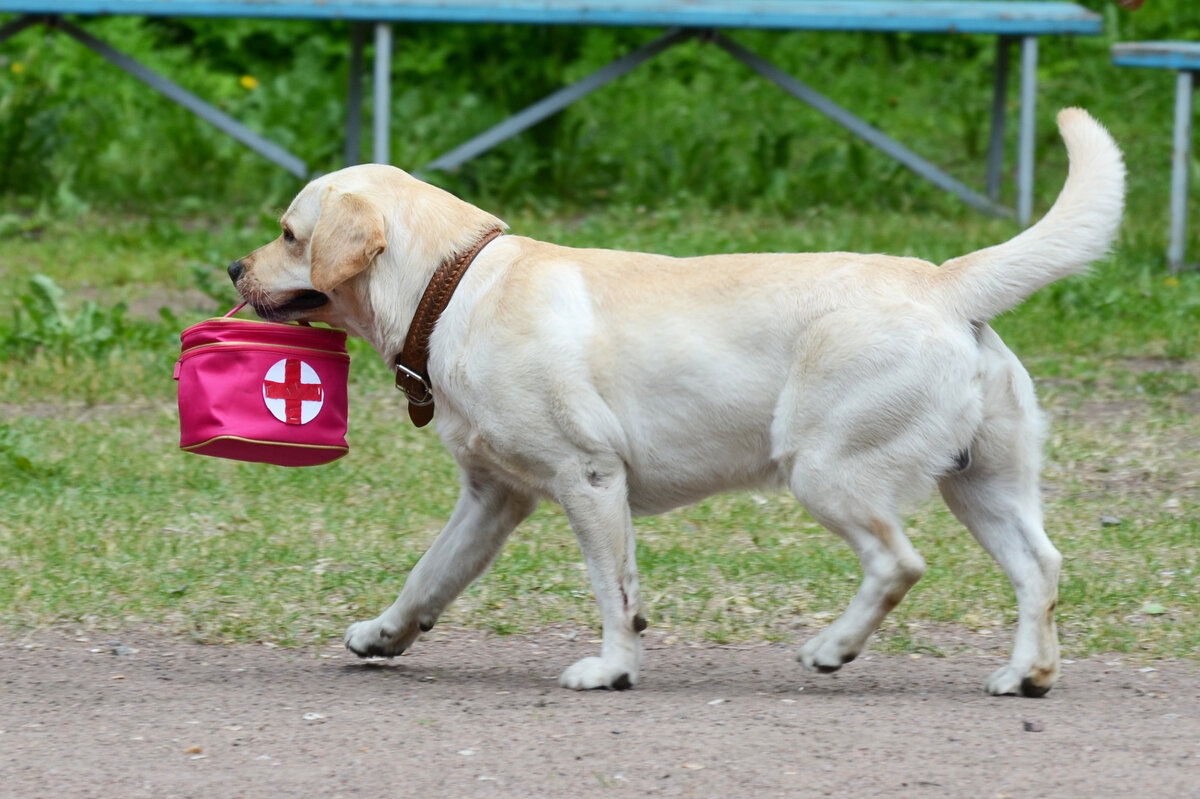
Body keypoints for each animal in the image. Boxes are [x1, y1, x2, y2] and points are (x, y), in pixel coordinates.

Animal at [229, 109, 1118, 695]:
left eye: (288, 232)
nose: (234, 267)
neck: (452, 286)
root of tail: (944, 282)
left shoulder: (589, 478)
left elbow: (613, 591)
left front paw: (612, 668)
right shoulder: (493, 497)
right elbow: (428, 577)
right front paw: (383, 633)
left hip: (826, 470)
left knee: (899, 563)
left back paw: (831, 649)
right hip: (982, 483)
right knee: (1041, 566)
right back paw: (1026, 673)